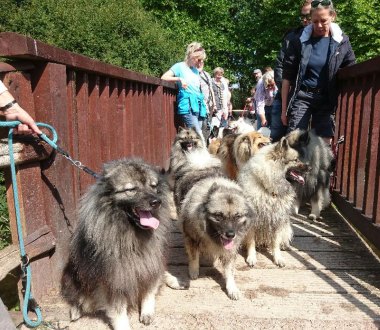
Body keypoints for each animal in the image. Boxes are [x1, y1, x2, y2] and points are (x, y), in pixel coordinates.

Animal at [61, 157, 172, 330]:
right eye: (131, 189)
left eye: (153, 186)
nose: (156, 201)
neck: (131, 235)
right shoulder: (113, 279)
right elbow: (118, 309)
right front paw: (123, 326)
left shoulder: (150, 264)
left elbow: (149, 290)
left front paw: (147, 312)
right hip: (72, 274)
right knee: (78, 297)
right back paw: (76, 310)